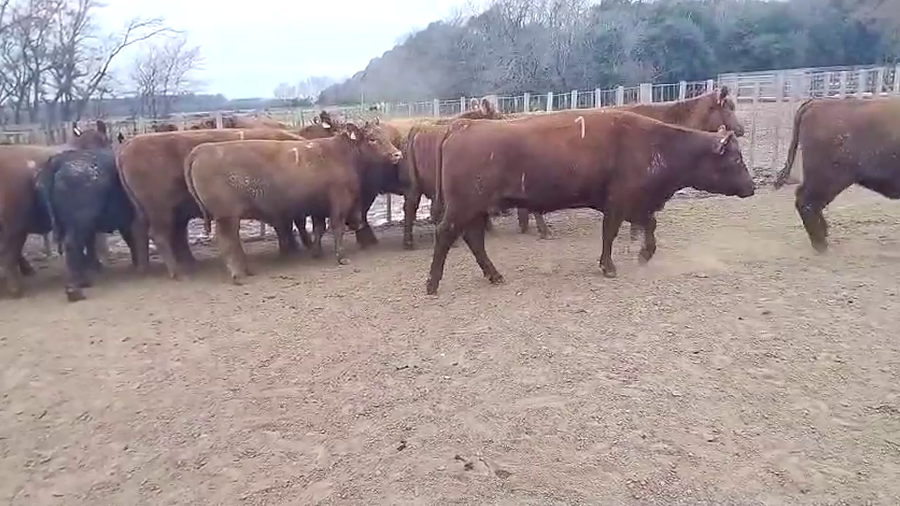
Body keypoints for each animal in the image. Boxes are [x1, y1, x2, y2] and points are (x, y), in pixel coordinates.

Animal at [116, 128, 303, 280]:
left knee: (146, 232)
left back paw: (150, 268)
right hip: (161, 210)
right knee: (160, 234)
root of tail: (127, 146)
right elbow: (286, 224)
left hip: (151, 211)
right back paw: (178, 272)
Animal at [183, 121, 402, 283]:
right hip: (226, 216)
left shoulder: (318, 206)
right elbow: (337, 228)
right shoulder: (339, 203)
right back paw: (239, 274)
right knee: (228, 241)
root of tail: (202, 150)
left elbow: (319, 228)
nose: (397, 154)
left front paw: (316, 252)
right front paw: (340, 257)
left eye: (385, 136)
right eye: (373, 139)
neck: (341, 155)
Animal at [424, 109, 755, 295]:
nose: (752, 187)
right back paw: (432, 284)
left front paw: (644, 255)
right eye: (736, 159)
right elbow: (611, 233)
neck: (656, 144)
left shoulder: (636, 204)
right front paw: (609, 267)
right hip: (464, 206)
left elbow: (649, 225)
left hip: (477, 209)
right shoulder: (619, 203)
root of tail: (462, 126)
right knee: (446, 234)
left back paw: (494, 275)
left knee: (473, 239)